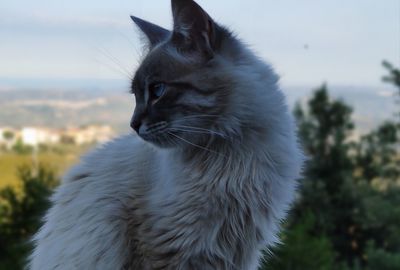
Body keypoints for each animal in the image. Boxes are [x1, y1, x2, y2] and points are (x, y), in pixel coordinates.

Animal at [28, 0, 304, 270]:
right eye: (136, 95)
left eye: (157, 90)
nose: (133, 124)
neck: (229, 153)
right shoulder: (166, 248)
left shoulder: (238, 252)